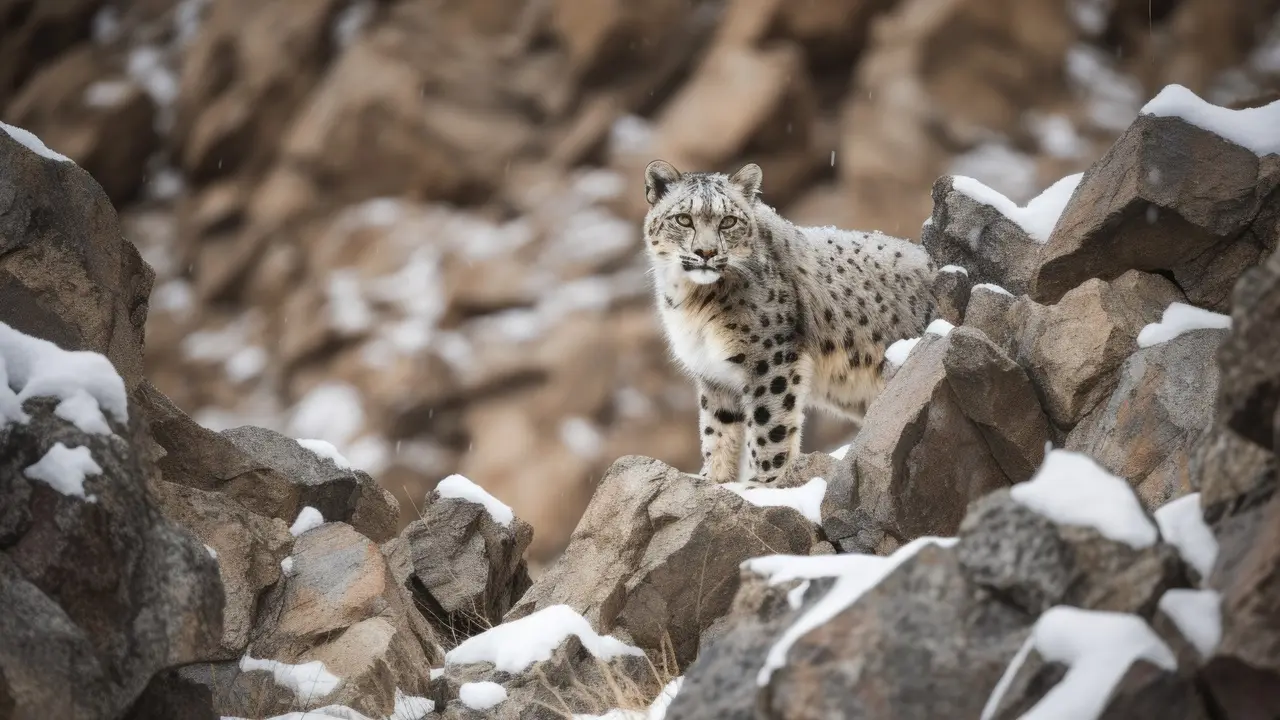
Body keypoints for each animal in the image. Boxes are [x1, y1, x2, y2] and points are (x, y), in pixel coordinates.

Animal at [645, 160, 936, 484]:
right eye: (683, 219)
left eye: (728, 221)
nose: (706, 253)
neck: (692, 301)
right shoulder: (712, 373)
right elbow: (717, 429)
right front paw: (714, 479)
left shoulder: (769, 360)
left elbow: (768, 427)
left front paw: (764, 484)